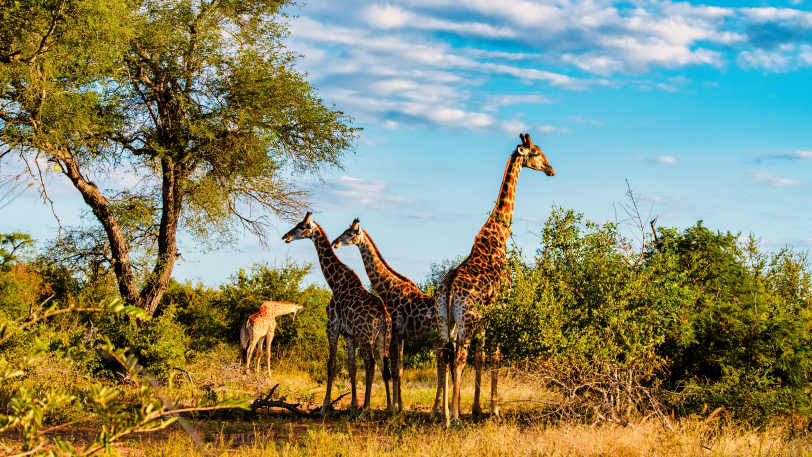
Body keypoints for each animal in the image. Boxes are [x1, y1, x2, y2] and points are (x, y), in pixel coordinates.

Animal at [282, 212, 392, 413]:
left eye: (302, 226)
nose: (285, 237)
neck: (335, 282)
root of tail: (383, 316)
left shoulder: (332, 327)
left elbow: (331, 364)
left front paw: (325, 405)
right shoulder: (349, 334)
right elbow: (351, 366)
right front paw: (353, 405)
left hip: (367, 337)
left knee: (371, 364)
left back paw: (366, 409)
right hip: (383, 337)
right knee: (384, 364)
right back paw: (389, 407)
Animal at [332, 219, 443, 412]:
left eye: (350, 233)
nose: (335, 243)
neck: (388, 289)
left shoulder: (395, 334)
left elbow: (394, 370)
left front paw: (395, 407)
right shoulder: (401, 336)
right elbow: (399, 370)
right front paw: (400, 406)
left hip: (438, 340)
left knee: (443, 368)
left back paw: (437, 408)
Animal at [436, 133, 554, 425]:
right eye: (536, 152)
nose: (551, 169)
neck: (499, 234)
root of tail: (450, 288)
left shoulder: (486, 317)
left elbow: (481, 357)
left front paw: (478, 409)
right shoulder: (502, 308)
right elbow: (495, 356)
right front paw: (494, 410)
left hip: (445, 321)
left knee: (444, 355)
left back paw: (443, 414)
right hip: (466, 320)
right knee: (459, 358)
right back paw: (455, 416)